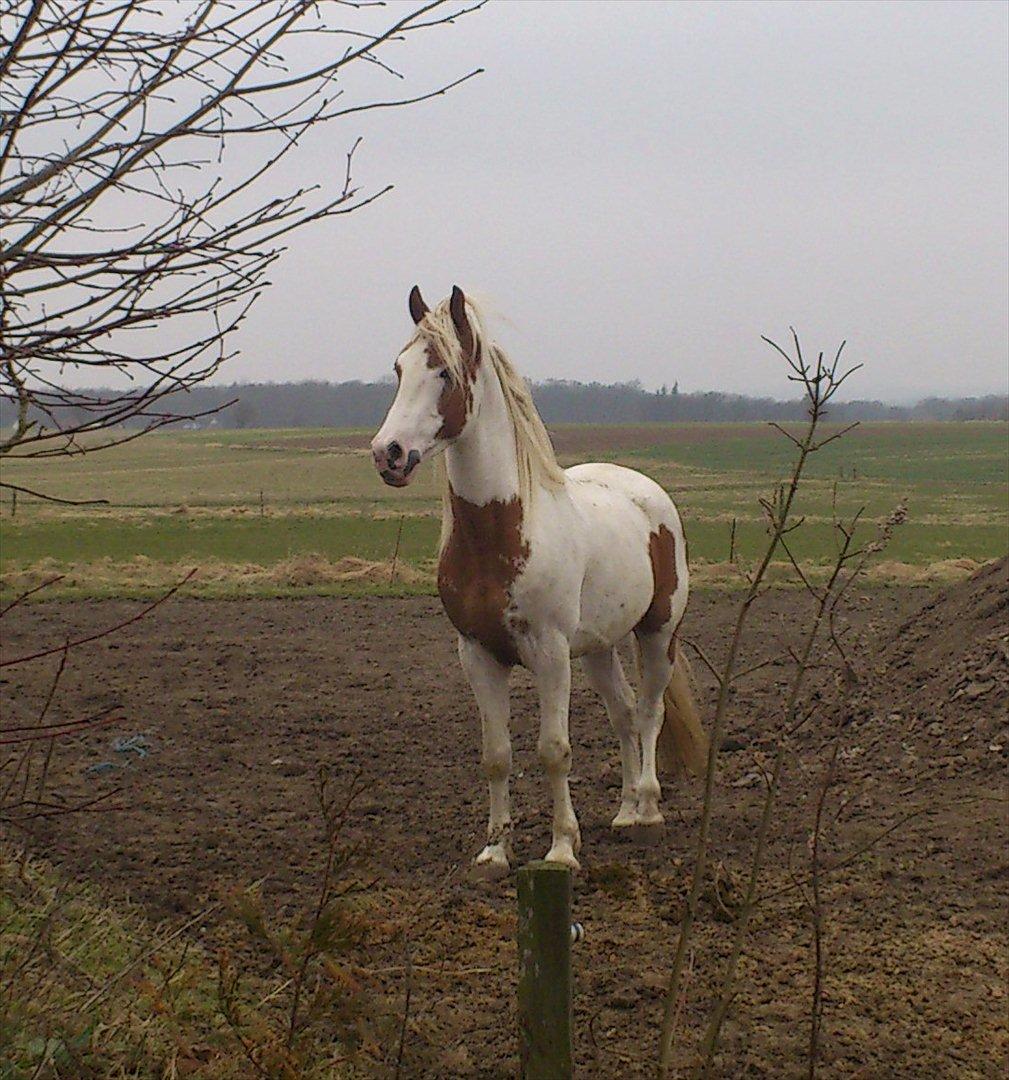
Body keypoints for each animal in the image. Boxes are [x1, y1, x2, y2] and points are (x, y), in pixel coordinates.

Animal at [371, 287, 712, 876]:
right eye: (399, 368)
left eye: (444, 373)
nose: (387, 453)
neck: (502, 531)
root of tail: (647, 493)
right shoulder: (477, 654)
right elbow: (497, 756)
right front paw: (494, 852)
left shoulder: (550, 655)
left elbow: (554, 750)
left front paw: (561, 850)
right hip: (598, 648)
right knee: (624, 714)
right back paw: (624, 812)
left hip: (657, 632)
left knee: (650, 712)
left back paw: (647, 812)